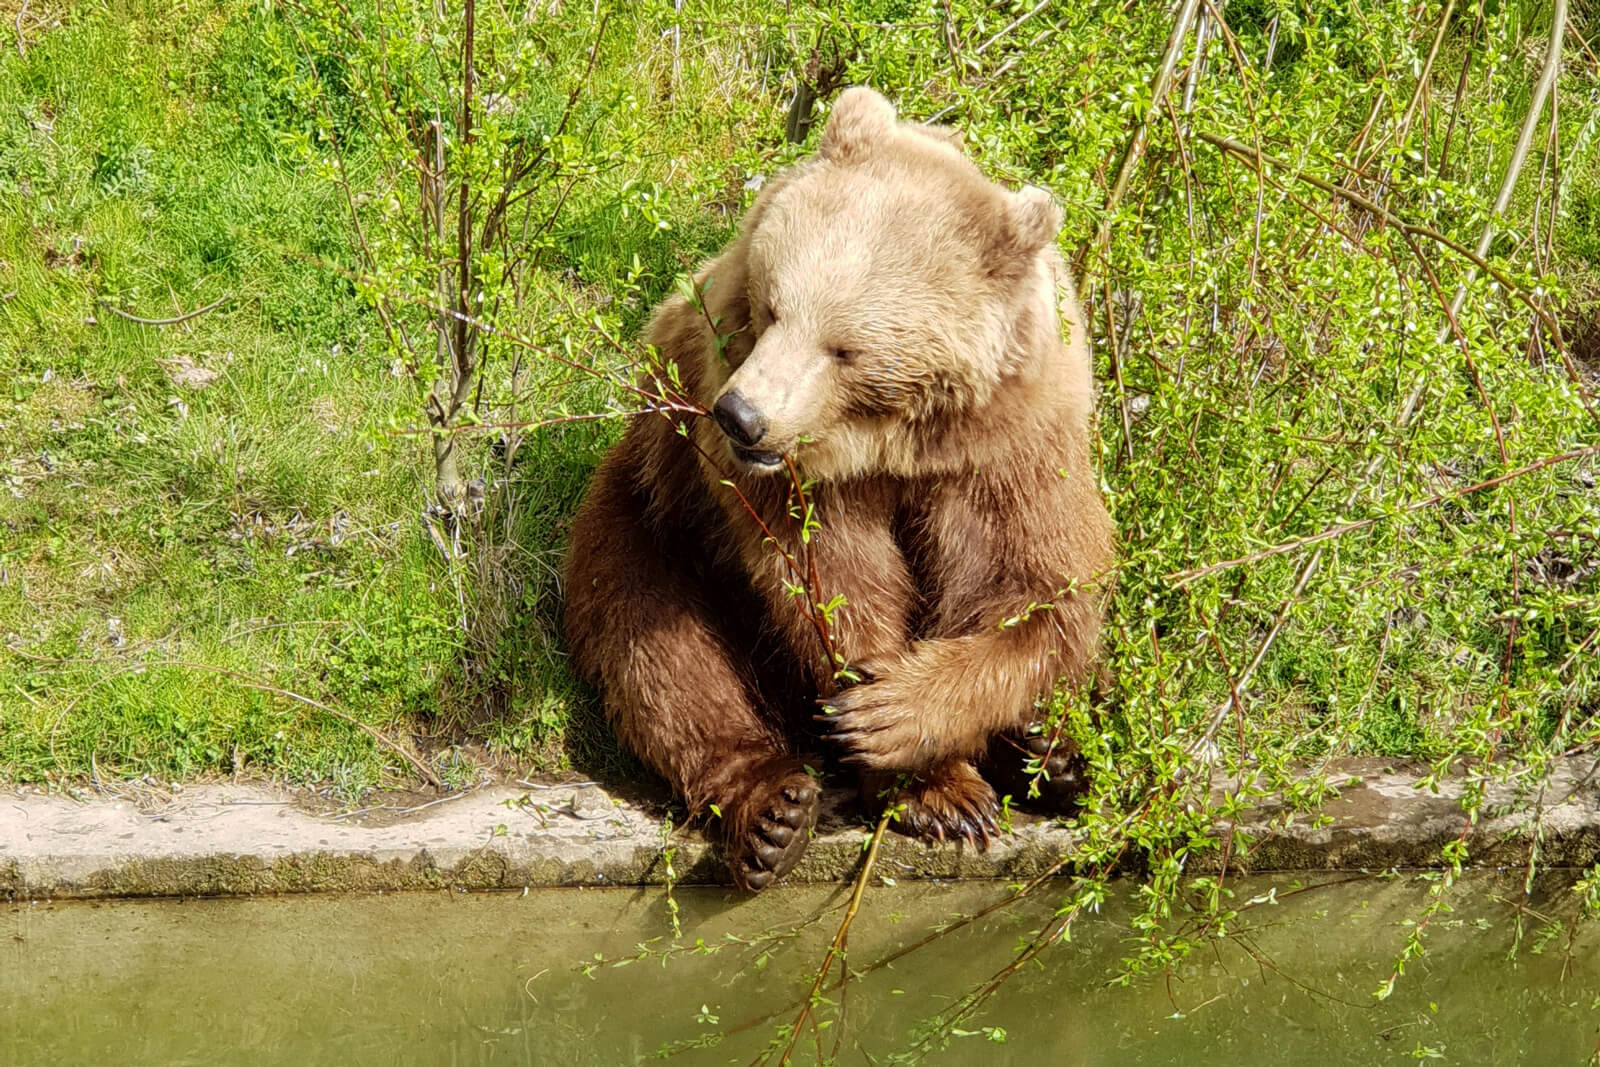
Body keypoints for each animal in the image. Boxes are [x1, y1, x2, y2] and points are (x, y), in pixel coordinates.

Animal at [563, 85, 1113, 895]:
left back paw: (1055, 753)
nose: (741, 415)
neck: (896, 442)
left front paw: (898, 718)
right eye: (773, 307)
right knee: (656, 646)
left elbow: (1033, 590)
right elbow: (830, 583)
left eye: (844, 348)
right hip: (649, 510)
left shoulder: (1012, 444)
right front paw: (937, 789)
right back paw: (772, 810)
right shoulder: (793, 478)